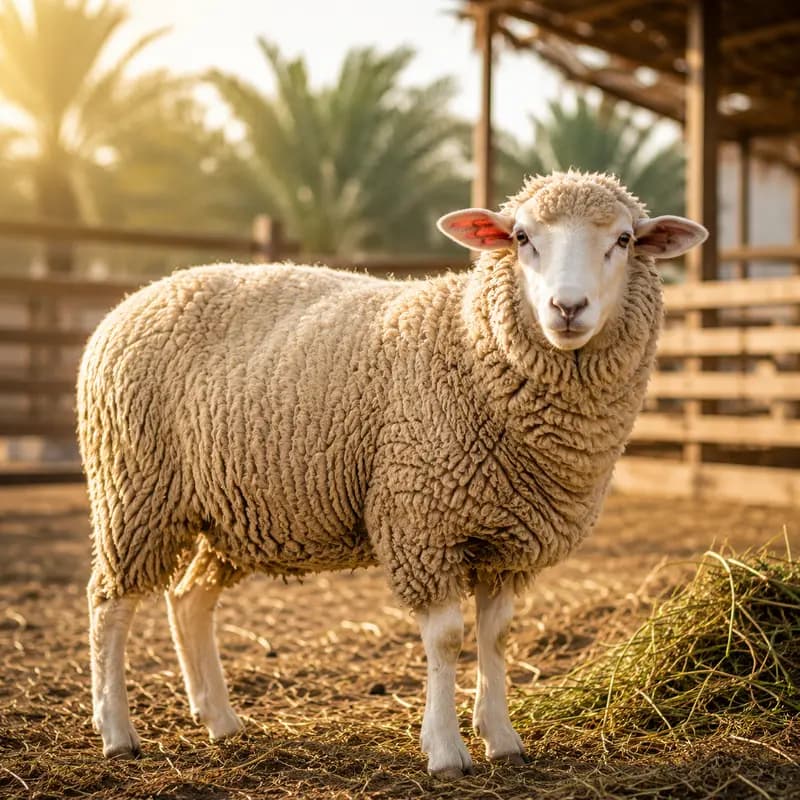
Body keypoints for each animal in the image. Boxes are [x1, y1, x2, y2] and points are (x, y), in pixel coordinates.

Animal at [79, 170, 707, 777]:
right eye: (522, 237)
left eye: (623, 240)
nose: (567, 307)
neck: (470, 344)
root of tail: (136, 299)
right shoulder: (421, 519)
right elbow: (448, 638)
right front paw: (445, 751)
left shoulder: (507, 538)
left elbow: (497, 635)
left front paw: (503, 740)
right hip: (133, 489)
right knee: (109, 603)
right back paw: (116, 732)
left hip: (228, 512)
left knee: (189, 599)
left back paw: (220, 721)